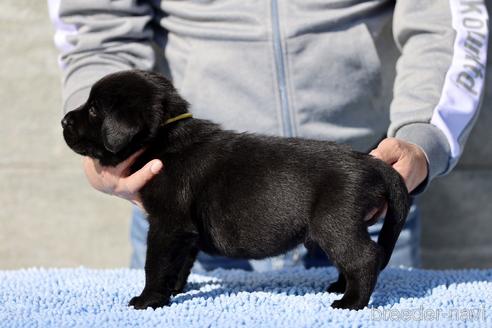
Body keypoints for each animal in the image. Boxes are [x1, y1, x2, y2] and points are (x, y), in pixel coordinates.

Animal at [61, 69, 410, 310]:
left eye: (93, 110)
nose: (64, 120)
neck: (164, 137)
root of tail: (371, 162)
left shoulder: (167, 224)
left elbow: (155, 263)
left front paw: (148, 300)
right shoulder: (185, 231)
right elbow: (180, 262)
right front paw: (172, 290)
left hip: (335, 222)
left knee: (365, 257)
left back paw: (351, 302)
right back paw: (339, 287)